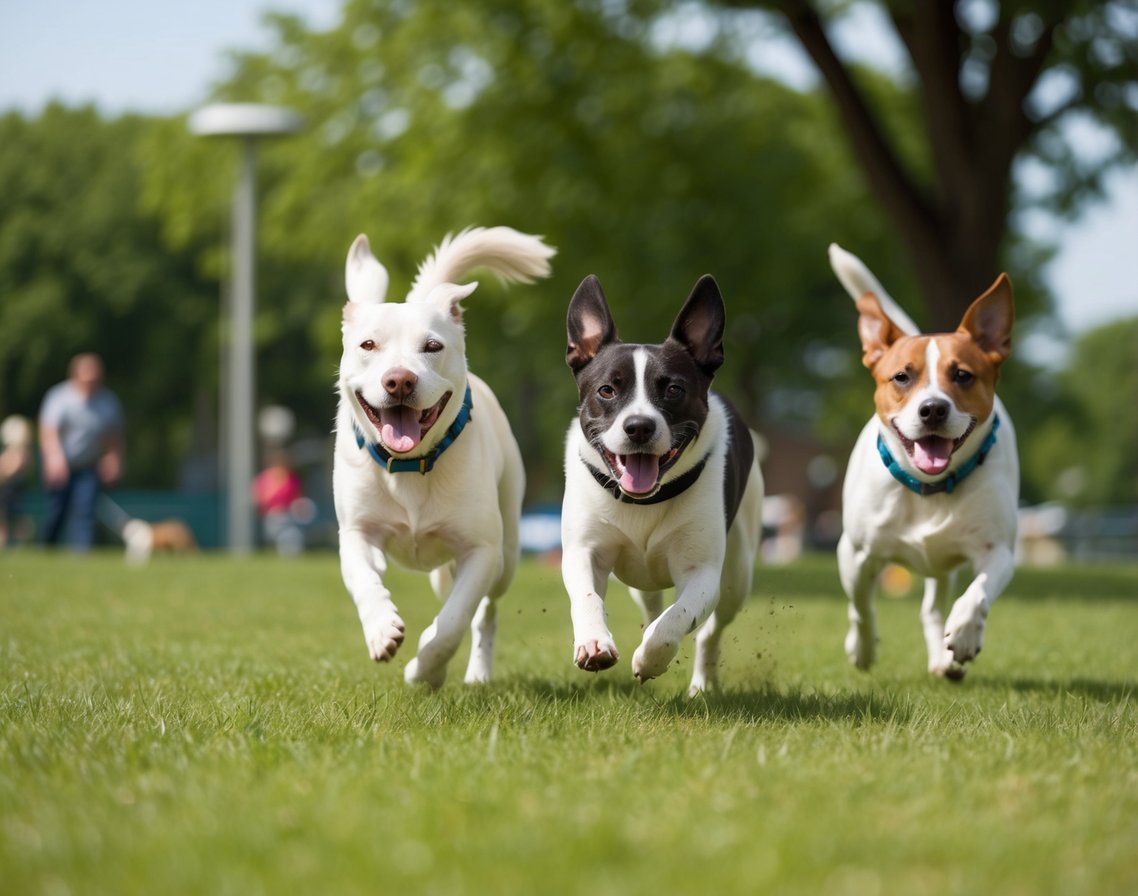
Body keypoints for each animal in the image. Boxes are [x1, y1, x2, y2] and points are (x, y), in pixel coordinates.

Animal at [332, 229, 555, 687]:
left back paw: (477, 674)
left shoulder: (480, 550)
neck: (410, 464)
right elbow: (364, 580)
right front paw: (382, 630)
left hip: (506, 554)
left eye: (432, 346)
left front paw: (425, 670)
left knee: (485, 612)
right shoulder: (357, 532)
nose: (399, 380)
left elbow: (453, 621)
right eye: (368, 344)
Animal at [559, 276, 764, 696]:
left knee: (708, 631)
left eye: (673, 390)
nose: (639, 426)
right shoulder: (584, 551)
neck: (644, 502)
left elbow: (676, 618)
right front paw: (594, 642)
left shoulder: (702, 573)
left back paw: (701, 683)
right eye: (607, 390)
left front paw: (649, 659)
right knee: (650, 600)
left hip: (737, 576)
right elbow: (587, 597)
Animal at [828, 244, 1024, 678]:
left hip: (943, 564)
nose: (933, 408)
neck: (930, 488)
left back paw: (944, 658)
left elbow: (978, 592)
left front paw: (964, 634)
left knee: (933, 609)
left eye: (963, 375)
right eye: (902, 376)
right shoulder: (855, 552)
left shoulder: (997, 548)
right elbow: (861, 607)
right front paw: (861, 649)